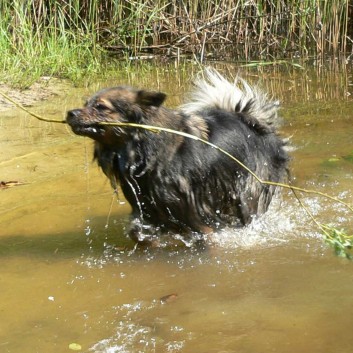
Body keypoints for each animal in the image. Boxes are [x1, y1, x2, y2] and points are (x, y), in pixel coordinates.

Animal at [66, 69, 288, 245]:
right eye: (85, 103)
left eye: (101, 107)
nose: (70, 113)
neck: (143, 152)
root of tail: (256, 122)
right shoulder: (147, 209)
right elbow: (137, 233)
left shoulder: (195, 213)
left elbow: (206, 237)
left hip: (248, 194)